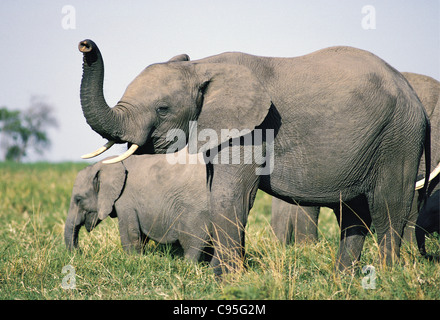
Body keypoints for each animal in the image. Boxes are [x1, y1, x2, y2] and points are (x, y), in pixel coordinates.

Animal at [62, 150, 212, 262]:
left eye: (78, 199)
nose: (81, 253)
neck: (108, 163)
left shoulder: (125, 198)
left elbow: (129, 231)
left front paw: (132, 259)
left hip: (196, 210)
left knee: (192, 241)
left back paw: (187, 265)